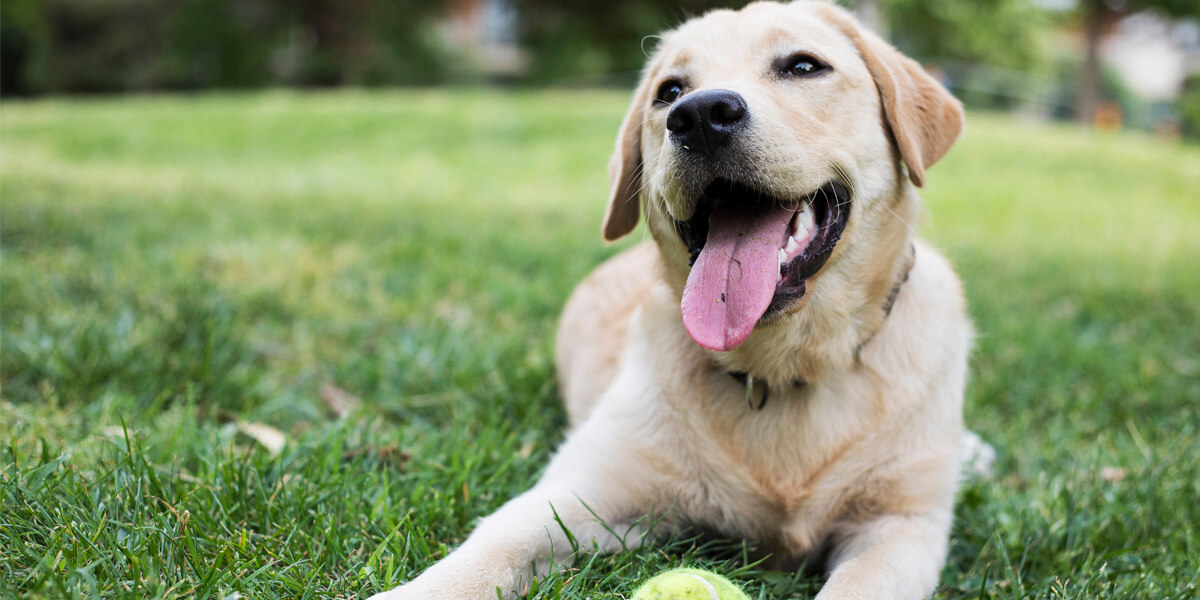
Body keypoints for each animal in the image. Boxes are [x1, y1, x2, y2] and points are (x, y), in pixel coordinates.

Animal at [372, 2, 974, 597]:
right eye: (670, 91)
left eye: (804, 66)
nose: (700, 116)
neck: (780, 369)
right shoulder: (586, 488)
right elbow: (493, 547)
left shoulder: (901, 525)